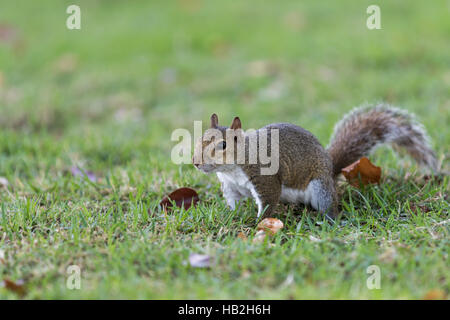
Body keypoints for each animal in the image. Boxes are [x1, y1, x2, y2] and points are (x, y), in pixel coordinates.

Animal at [192, 104, 436, 219]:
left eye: (223, 145)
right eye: (200, 137)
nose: (195, 162)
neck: (232, 169)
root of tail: (331, 168)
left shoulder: (265, 179)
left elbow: (268, 202)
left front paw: (258, 224)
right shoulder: (231, 185)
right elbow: (233, 202)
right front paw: (230, 215)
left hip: (320, 187)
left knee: (330, 205)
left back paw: (328, 218)